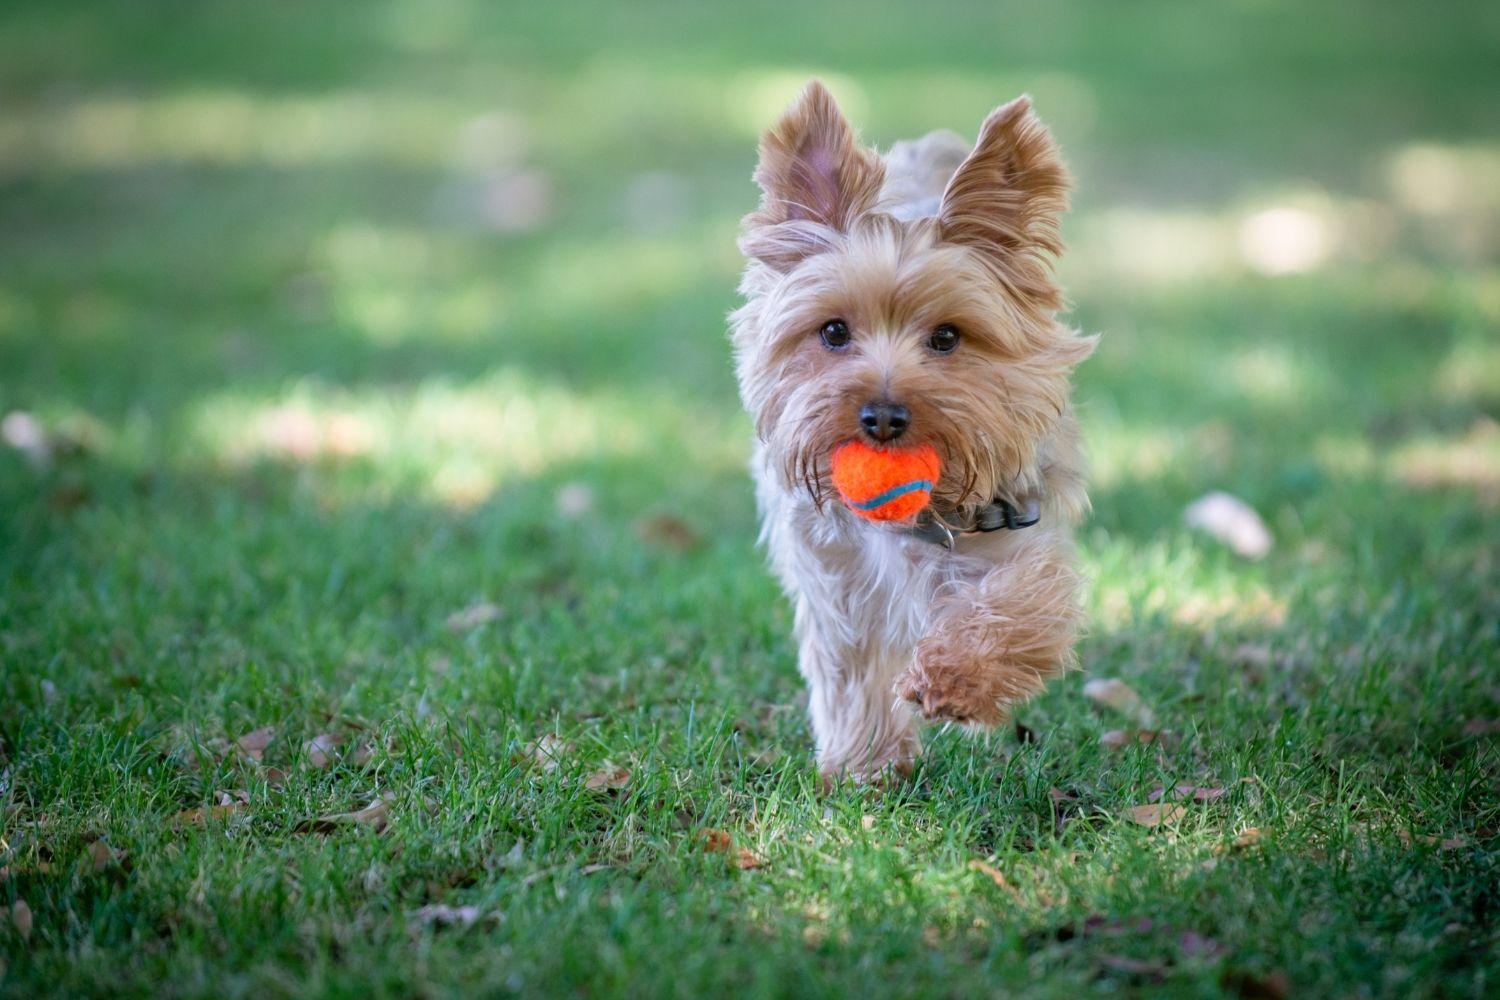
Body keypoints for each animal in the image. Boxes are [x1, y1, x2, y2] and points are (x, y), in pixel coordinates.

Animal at [732, 80, 1098, 779]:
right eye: (833, 331)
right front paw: (865, 765)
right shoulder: (836, 571)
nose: (882, 416)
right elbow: (850, 665)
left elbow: (1020, 604)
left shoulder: (1016, 522)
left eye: (947, 337)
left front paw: (955, 678)